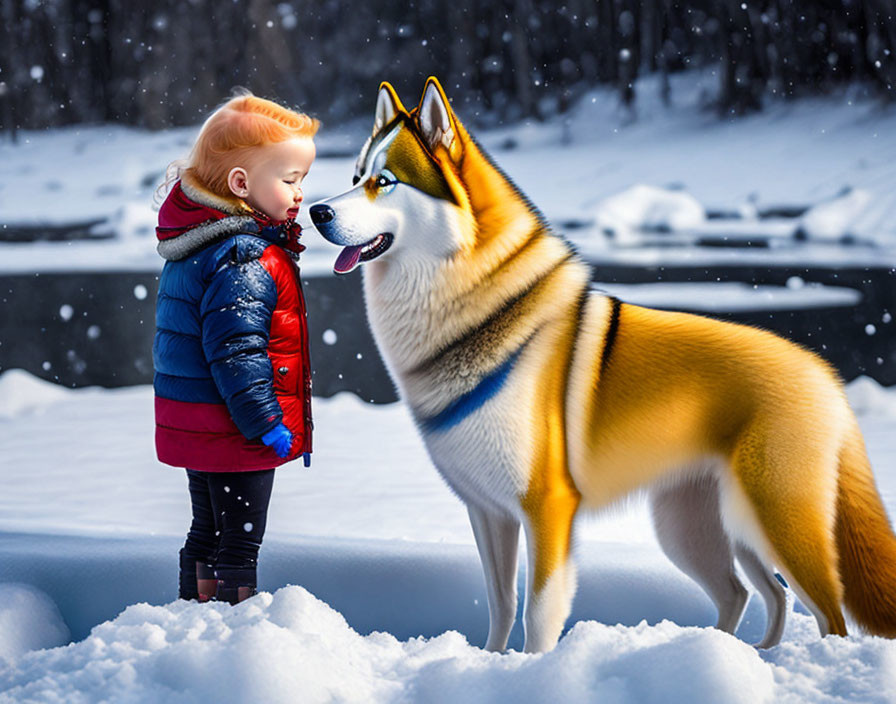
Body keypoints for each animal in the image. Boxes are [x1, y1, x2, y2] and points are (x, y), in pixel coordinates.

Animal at [312, 78, 896, 656]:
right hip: (698, 528)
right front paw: (491, 663)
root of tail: (823, 371)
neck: (476, 317)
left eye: (384, 182)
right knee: (756, 594)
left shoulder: (546, 506)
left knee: (827, 613)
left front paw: (534, 669)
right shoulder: (488, 512)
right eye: (355, 178)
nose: (316, 211)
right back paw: (743, 654)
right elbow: (500, 606)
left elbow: (538, 614)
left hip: (772, 523)